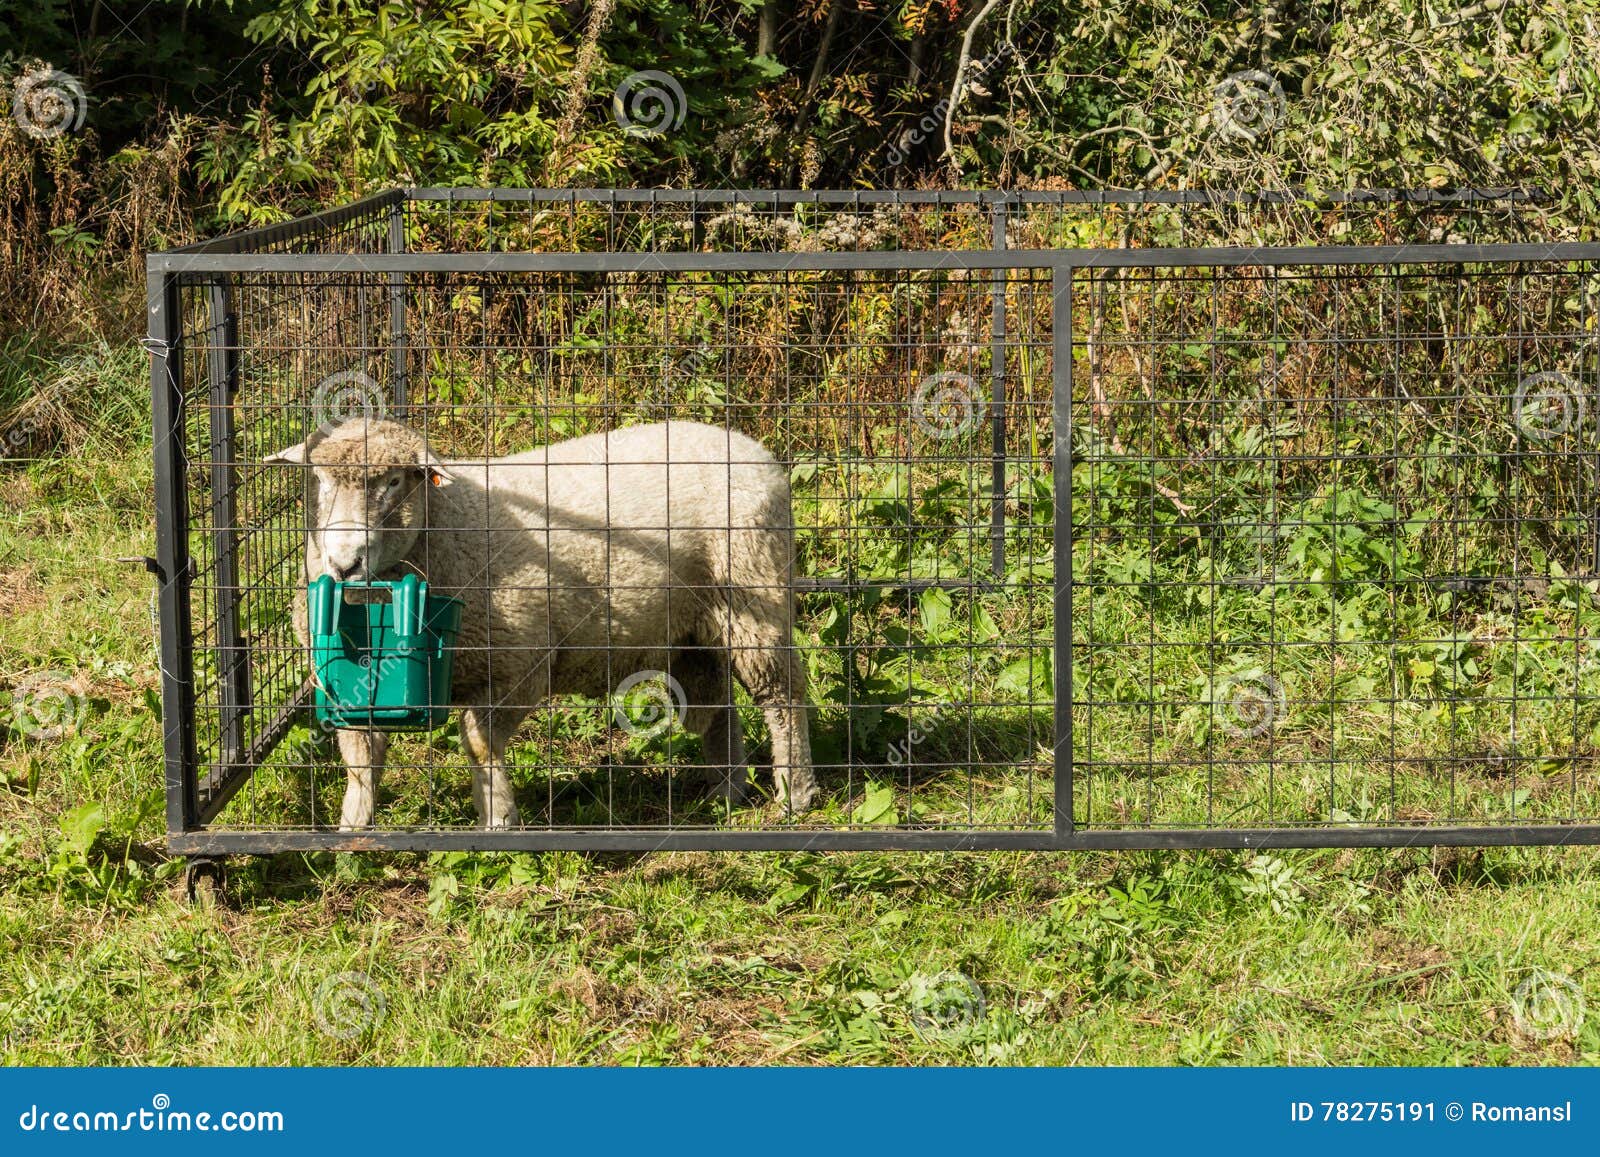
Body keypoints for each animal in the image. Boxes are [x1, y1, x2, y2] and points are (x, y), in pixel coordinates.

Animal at [265, 417, 817, 830]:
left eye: (395, 481)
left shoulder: (518, 664)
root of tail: (748, 445)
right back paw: (726, 789)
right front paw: (354, 830)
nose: (344, 563)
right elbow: (362, 756)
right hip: (693, 627)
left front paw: (498, 819)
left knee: (783, 698)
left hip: (756, 594)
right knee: (718, 701)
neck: (450, 525)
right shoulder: (345, 680)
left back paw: (796, 793)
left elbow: (480, 745)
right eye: (320, 481)